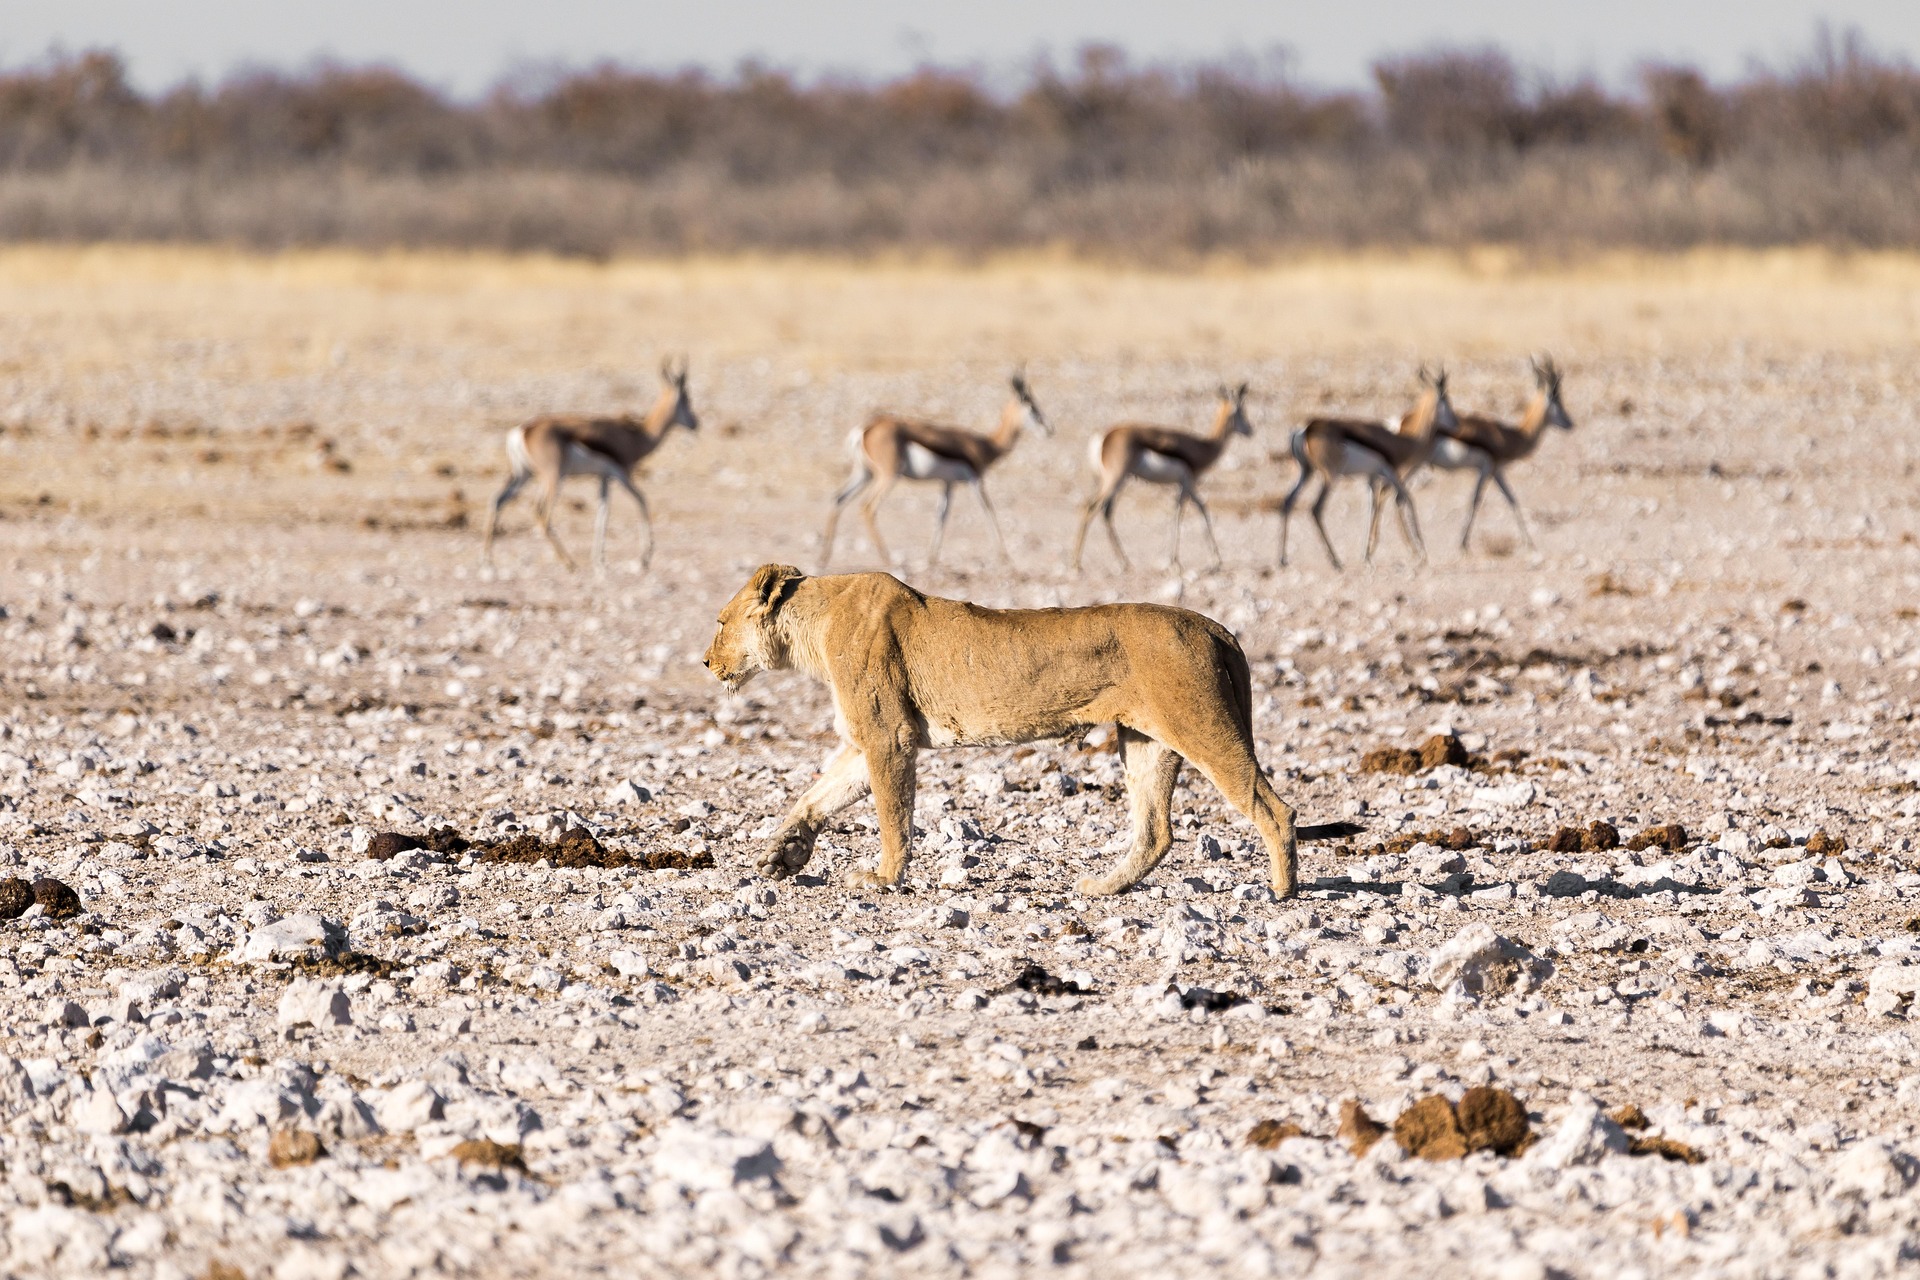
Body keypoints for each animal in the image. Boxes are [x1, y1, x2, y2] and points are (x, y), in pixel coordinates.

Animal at [702, 564, 1359, 897]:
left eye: (720, 622)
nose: (706, 663)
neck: (811, 629)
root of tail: (1218, 628)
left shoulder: (888, 736)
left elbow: (893, 816)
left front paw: (882, 877)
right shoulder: (866, 739)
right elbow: (815, 795)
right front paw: (782, 854)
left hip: (1201, 724)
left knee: (1273, 808)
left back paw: (1282, 891)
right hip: (1147, 741)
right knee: (1156, 832)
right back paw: (1102, 889)